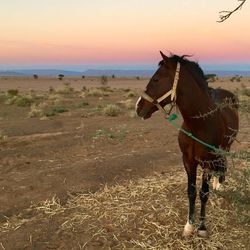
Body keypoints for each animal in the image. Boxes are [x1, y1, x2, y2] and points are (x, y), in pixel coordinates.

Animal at [136, 51, 239, 237]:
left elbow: (203, 193)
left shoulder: (206, 162)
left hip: (226, 147)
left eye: (156, 79)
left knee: (223, 163)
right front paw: (189, 226)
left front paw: (202, 227)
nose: (138, 107)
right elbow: (191, 192)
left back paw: (219, 183)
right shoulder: (188, 161)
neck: (199, 124)